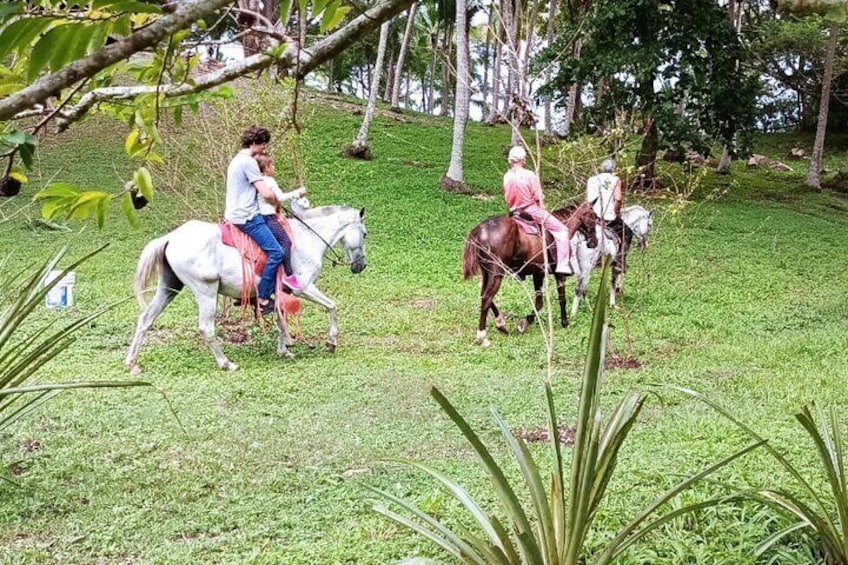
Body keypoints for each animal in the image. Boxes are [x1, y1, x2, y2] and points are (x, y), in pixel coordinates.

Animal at [125, 205, 368, 372]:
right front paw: (331, 342)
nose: (361, 266)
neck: (307, 239)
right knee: (206, 328)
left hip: (169, 287)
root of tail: (170, 238)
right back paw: (226, 363)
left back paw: (131, 360)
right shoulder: (304, 287)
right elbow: (332, 307)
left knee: (146, 319)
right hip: (206, 291)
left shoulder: (277, 292)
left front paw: (284, 350)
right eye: (365, 234)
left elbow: (280, 318)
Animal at [464, 203, 596, 344]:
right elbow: (560, 299)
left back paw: (501, 323)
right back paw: (482, 334)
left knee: (483, 295)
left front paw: (525, 322)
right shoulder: (555, 273)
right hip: (496, 274)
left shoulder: (537, 274)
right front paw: (564, 322)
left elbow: (539, 302)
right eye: (594, 216)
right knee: (487, 297)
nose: (594, 242)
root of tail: (480, 230)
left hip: (487, 273)